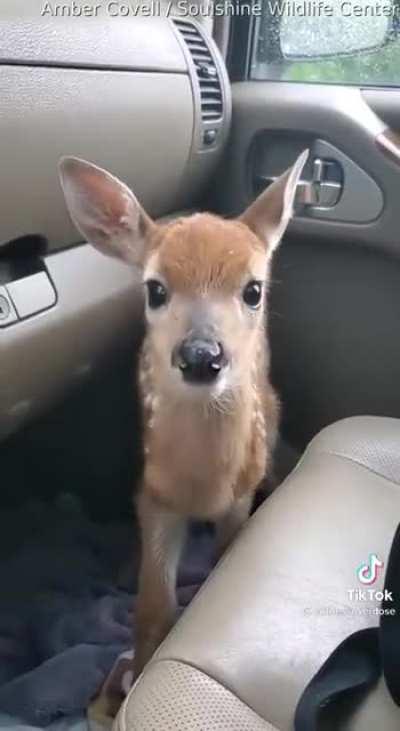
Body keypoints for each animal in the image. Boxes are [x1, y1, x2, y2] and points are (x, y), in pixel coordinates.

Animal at [59, 149, 308, 681]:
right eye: (155, 289)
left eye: (253, 290)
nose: (200, 355)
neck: (202, 486)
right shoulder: (154, 497)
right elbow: (153, 608)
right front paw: (137, 670)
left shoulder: (239, 497)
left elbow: (218, 563)